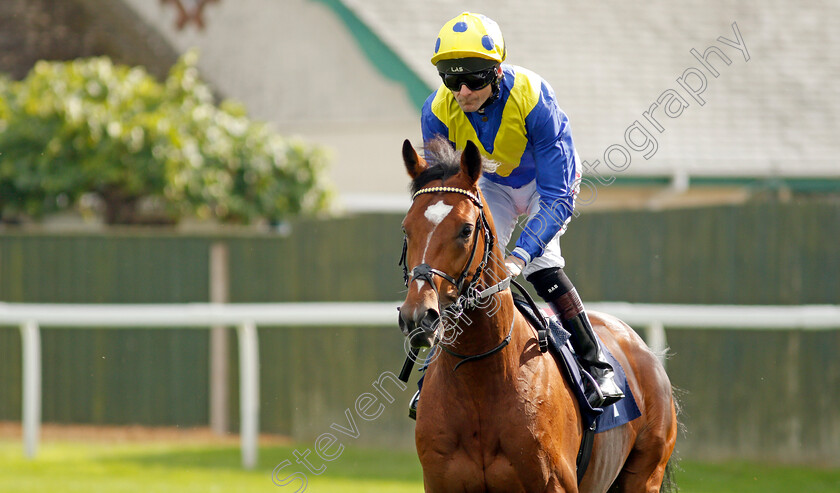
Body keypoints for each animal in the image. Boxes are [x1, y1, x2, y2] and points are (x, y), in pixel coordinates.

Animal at [398, 138, 680, 492]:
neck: (480, 379)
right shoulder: (440, 482)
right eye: (406, 229)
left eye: (465, 229)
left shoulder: (554, 483)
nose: (418, 316)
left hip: (646, 473)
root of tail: (642, 348)